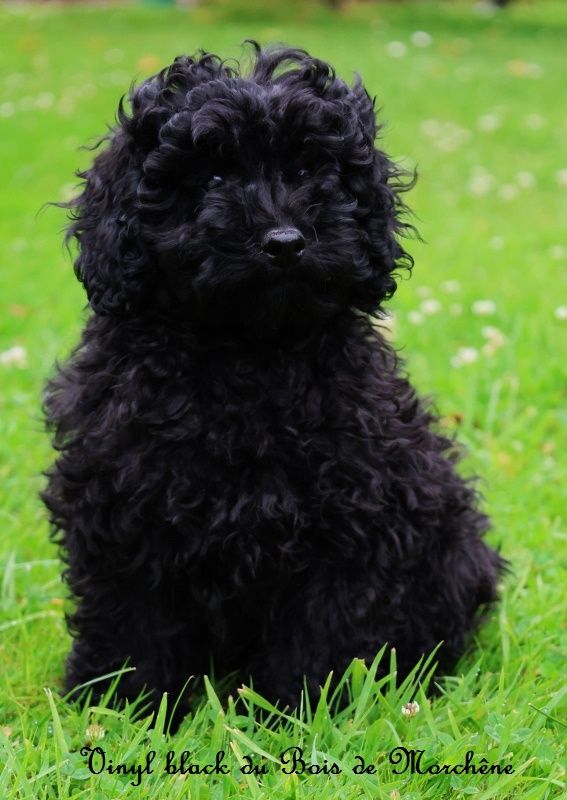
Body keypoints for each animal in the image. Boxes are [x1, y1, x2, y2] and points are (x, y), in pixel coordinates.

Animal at [44, 43, 506, 720]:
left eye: (312, 169)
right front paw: (122, 705)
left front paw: (296, 713)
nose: (285, 241)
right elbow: (130, 620)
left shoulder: (353, 520)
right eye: (211, 179)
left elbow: (323, 632)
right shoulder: (121, 507)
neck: (247, 352)